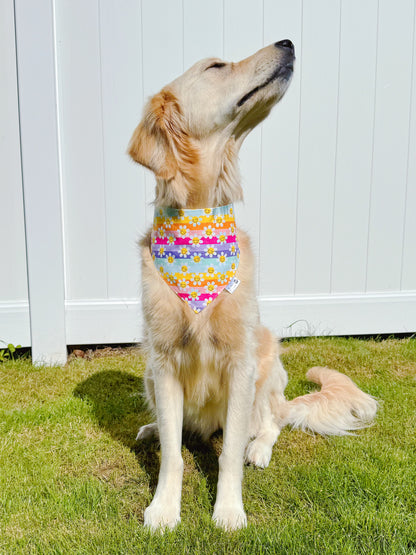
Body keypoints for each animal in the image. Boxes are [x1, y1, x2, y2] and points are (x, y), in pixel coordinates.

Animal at [127, 41, 376, 532]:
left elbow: (227, 455)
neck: (198, 222)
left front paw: (227, 510)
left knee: (271, 423)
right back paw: (152, 429)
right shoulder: (162, 363)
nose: (288, 43)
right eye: (216, 67)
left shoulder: (240, 364)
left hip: (267, 367)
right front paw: (164, 508)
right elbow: (172, 455)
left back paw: (257, 448)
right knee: (174, 431)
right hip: (149, 373)